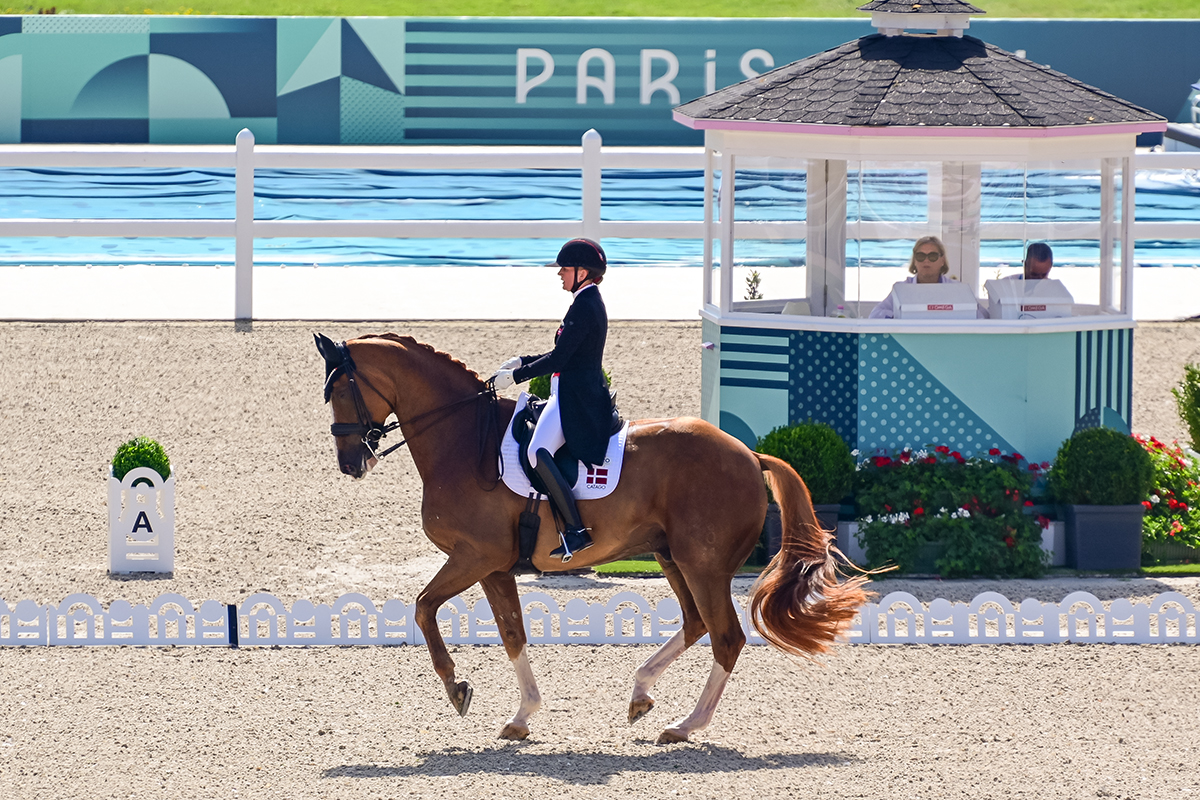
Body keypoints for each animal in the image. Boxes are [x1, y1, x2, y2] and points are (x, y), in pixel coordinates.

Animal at [314, 331, 868, 743]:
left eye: (339, 391)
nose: (349, 463)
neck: (463, 439)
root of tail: (750, 455)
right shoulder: (493, 566)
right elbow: (512, 634)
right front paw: (522, 716)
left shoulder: (474, 556)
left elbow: (424, 607)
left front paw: (457, 687)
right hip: (672, 557)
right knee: (696, 624)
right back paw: (641, 695)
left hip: (703, 564)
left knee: (725, 636)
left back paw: (685, 725)